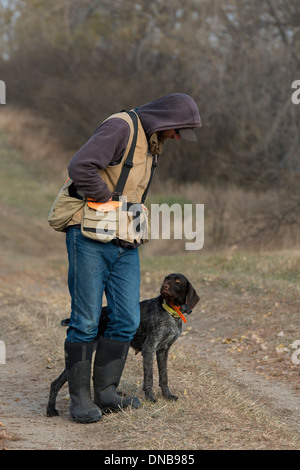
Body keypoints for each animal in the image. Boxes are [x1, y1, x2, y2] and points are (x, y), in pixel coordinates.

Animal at [46, 274, 199, 416]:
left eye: (177, 281)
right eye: (166, 279)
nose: (164, 287)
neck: (171, 311)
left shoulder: (163, 350)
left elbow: (164, 376)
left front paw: (167, 395)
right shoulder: (149, 348)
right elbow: (149, 378)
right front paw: (150, 398)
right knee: (57, 382)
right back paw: (51, 409)